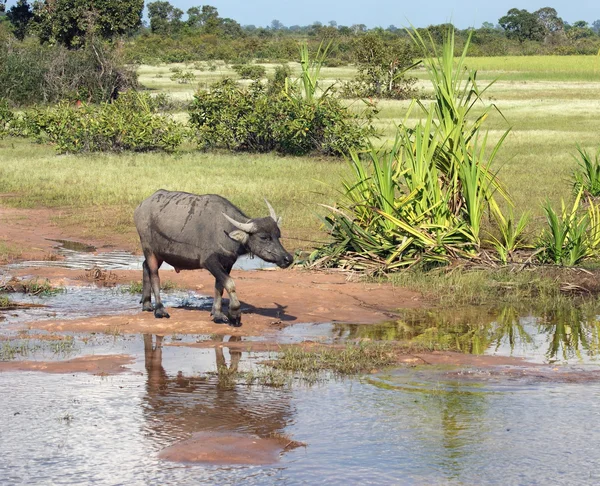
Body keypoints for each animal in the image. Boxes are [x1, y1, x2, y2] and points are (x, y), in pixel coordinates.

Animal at [134, 190, 292, 326]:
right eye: (264, 237)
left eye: (278, 235)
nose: (288, 258)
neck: (225, 232)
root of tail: (141, 207)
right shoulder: (209, 261)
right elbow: (230, 283)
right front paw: (234, 314)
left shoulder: (227, 263)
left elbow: (219, 287)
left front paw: (217, 314)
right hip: (149, 249)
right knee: (154, 275)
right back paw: (159, 309)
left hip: (160, 253)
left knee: (145, 266)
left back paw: (147, 303)